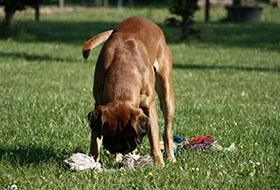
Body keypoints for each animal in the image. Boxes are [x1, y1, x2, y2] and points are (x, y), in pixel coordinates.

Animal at [82, 16, 175, 168]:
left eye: (131, 135)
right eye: (109, 134)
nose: (119, 148)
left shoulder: (149, 106)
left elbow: (154, 137)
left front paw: (158, 163)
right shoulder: (98, 105)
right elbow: (95, 141)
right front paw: (92, 161)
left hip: (167, 96)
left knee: (167, 131)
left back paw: (171, 157)